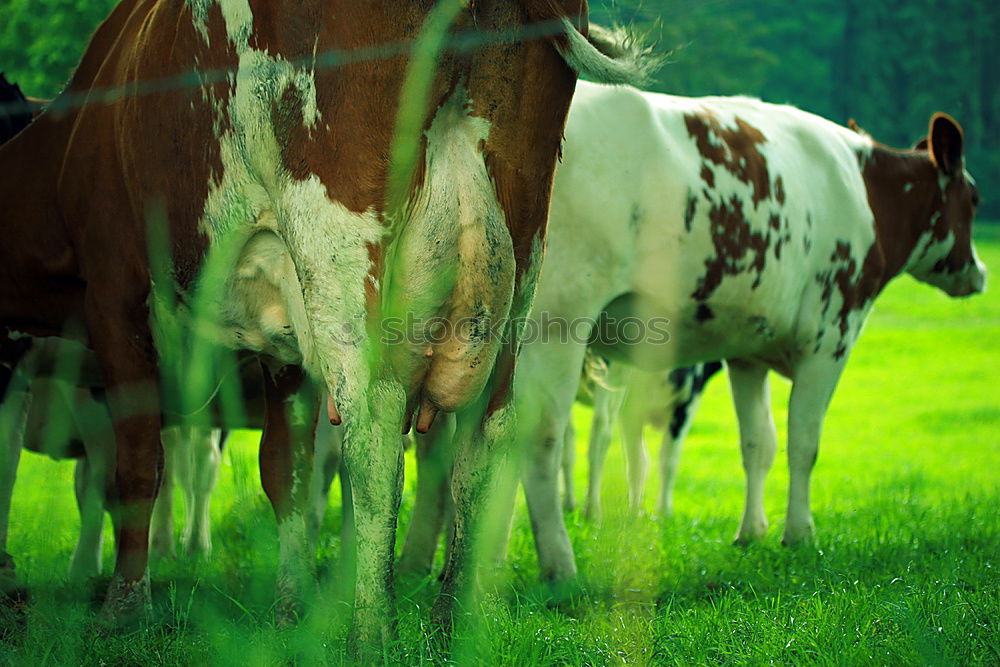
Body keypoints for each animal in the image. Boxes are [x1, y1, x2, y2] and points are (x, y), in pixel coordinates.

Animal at [0, 2, 656, 644]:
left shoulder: (115, 288)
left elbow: (137, 465)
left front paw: (123, 608)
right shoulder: (280, 345)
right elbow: (284, 469)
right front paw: (290, 609)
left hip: (343, 253)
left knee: (373, 432)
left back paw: (372, 630)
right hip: (513, 274)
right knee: (483, 434)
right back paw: (453, 625)